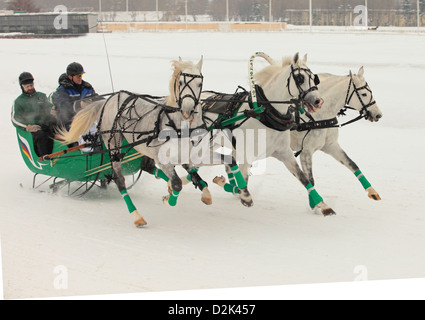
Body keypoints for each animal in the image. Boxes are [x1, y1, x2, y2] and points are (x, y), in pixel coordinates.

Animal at [57, 57, 207, 228]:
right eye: (181, 82)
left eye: (199, 84)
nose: (187, 111)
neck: (176, 124)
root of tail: (108, 101)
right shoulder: (162, 158)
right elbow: (177, 184)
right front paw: (168, 199)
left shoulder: (185, 154)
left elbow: (196, 176)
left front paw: (206, 194)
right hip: (114, 145)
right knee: (120, 180)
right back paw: (136, 215)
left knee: (146, 167)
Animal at [290, 67, 382, 200]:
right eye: (364, 94)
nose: (378, 114)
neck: (319, 117)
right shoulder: (306, 152)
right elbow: (310, 180)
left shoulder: (331, 145)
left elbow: (352, 164)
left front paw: (372, 191)